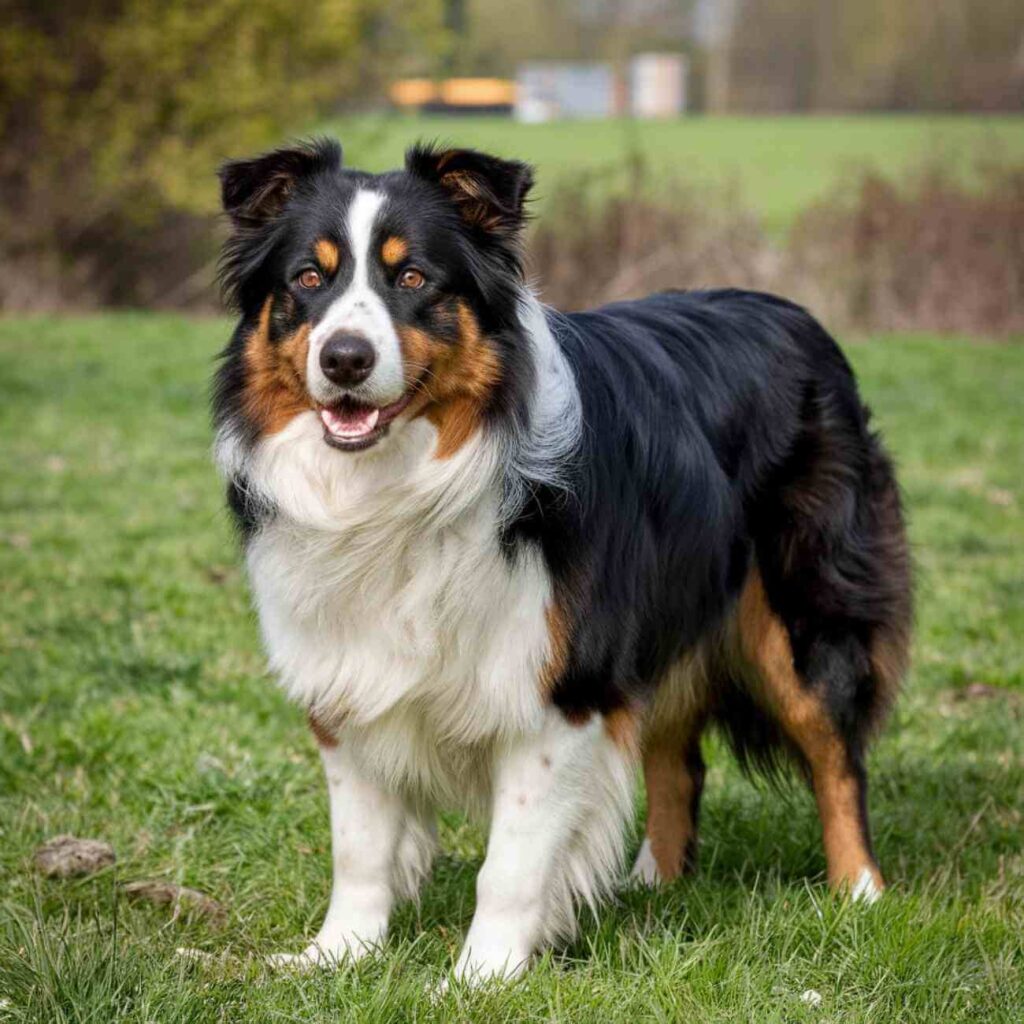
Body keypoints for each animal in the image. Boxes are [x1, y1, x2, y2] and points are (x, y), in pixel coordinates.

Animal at [214, 138, 913, 983]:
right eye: (307, 281)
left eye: (413, 279)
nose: (345, 359)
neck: (397, 486)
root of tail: (795, 313)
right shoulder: (348, 678)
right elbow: (361, 846)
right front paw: (338, 953)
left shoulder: (557, 686)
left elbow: (511, 862)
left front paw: (480, 978)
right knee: (678, 760)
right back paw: (652, 884)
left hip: (802, 609)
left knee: (834, 748)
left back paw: (861, 894)